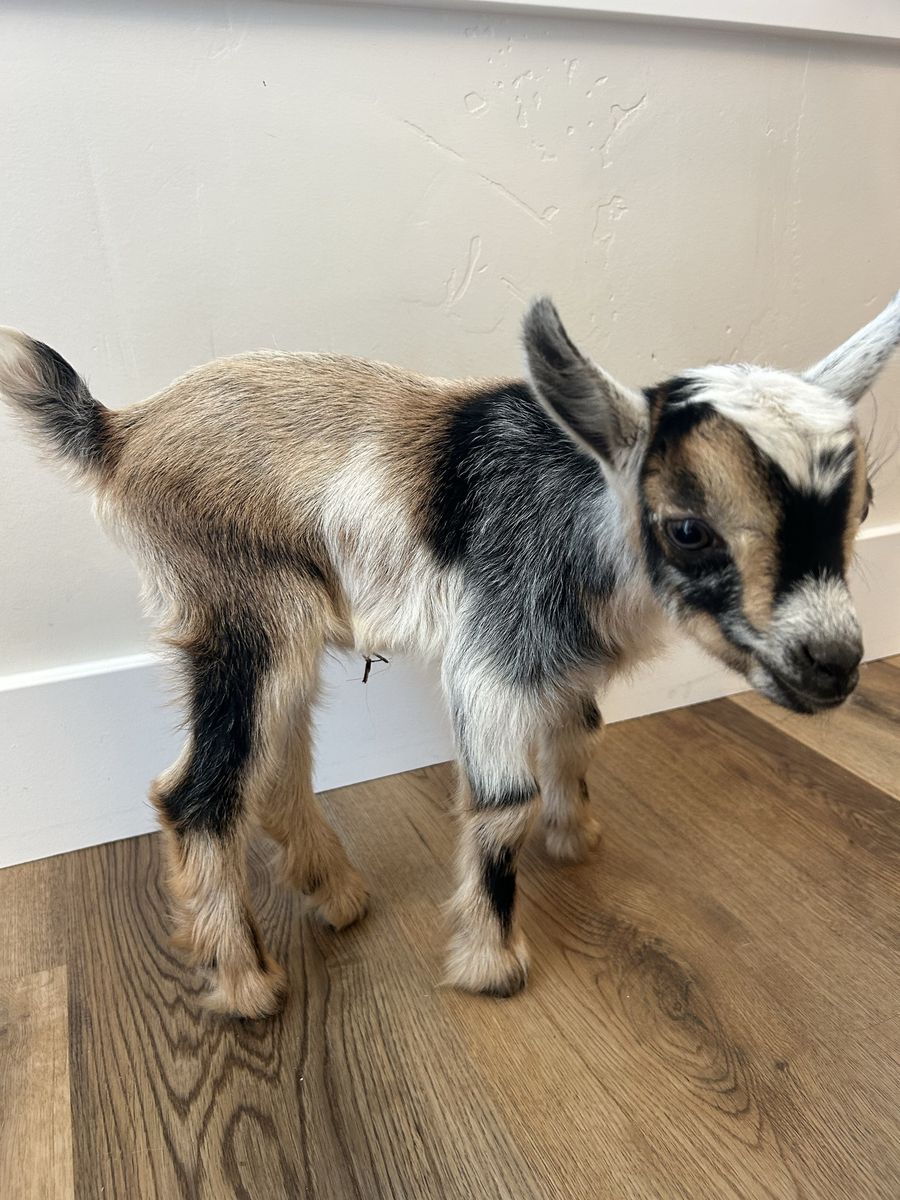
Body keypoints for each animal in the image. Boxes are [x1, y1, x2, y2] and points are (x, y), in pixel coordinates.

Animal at [2, 293, 898, 1016]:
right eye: (688, 528)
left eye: (865, 505)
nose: (834, 663)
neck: (582, 506)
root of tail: (119, 432)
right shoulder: (493, 656)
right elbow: (503, 803)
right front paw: (491, 964)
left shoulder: (558, 656)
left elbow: (579, 732)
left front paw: (576, 839)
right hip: (239, 611)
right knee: (196, 791)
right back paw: (246, 984)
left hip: (278, 633)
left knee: (278, 763)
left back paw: (337, 894)